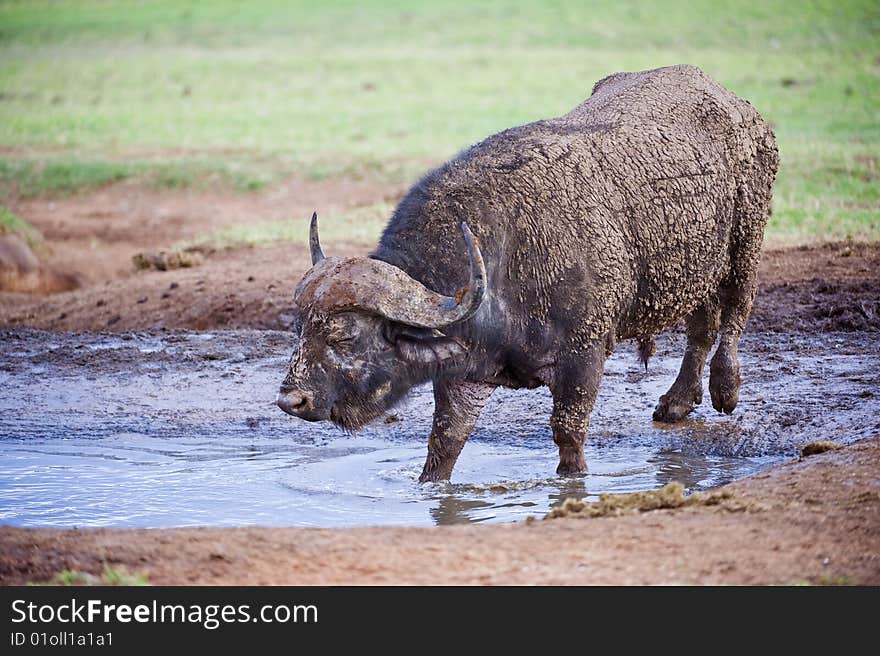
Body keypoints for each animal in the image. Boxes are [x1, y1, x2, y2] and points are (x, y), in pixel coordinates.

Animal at [276, 65, 776, 482]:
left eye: (345, 336)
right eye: (301, 329)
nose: (290, 400)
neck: (500, 260)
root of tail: (740, 108)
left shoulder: (584, 358)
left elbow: (568, 436)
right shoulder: (464, 375)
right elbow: (445, 444)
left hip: (746, 241)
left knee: (735, 312)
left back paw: (725, 389)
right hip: (700, 267)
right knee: (701, 325)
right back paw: (676, 401)